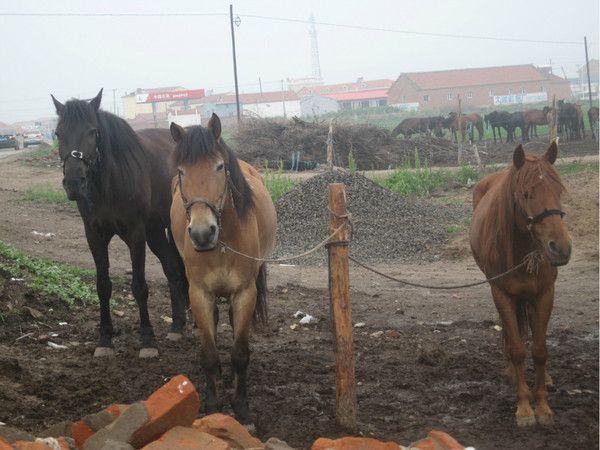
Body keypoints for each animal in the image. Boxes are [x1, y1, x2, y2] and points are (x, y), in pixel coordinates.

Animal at [51, 89, 188, 358]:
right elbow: (103, 286)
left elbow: (139, 287)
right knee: (172, 268)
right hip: (155, 231)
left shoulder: (135, 233)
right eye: (59, 133)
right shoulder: (94, 235)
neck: (109, 182)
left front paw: (147, 340)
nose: (74, 183)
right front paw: (105, 339)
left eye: (92, 131)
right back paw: (177, 325)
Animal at [170, 113, 278, 422]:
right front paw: (212, 405)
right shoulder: (199, 294)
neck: (221, 244)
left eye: (219, 167)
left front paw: (241, 408)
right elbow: (208, 354)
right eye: (181, 171)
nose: (202, 233)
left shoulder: (245, 293)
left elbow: (240, 353)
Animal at [468, 142, 572, 428]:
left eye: (559, 191)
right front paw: (525, 408)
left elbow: (539, 349)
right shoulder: (502, 294)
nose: (560, 248)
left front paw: (543, 406)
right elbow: (516, 349)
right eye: (526, 194)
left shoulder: (545, 293)